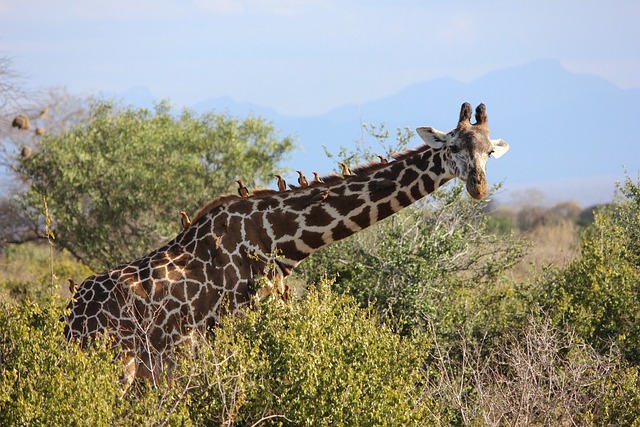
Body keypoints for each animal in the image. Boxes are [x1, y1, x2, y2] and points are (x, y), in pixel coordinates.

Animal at [63, 103, 510, 388]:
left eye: (490, 151)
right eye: (451, 146)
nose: (478, 186)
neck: (281, 240)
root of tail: (71, 316)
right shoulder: (239, 332)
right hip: (116, 365)